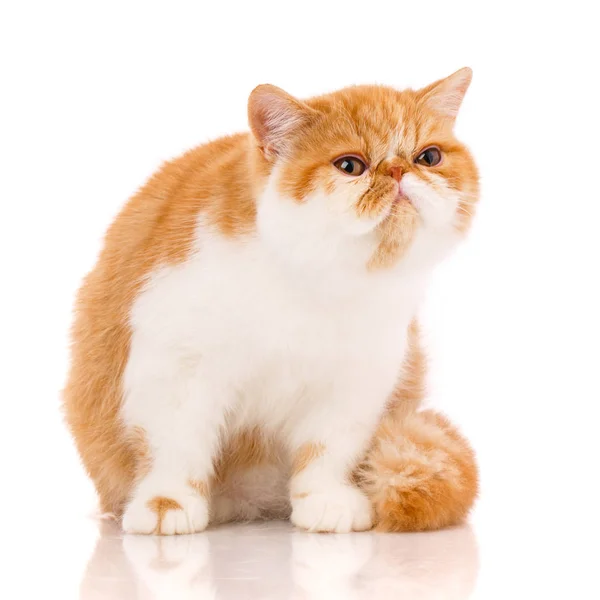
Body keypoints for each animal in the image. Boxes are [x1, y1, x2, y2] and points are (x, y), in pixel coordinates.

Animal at [63, 67, 480, 536]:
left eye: (429, 157)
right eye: (350, 165)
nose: (396, 170)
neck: (314, 283)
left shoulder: (358, 380)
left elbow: (329, 448)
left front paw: (327, 500)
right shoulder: (176, 369)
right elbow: (175, 447)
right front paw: (165, 503)